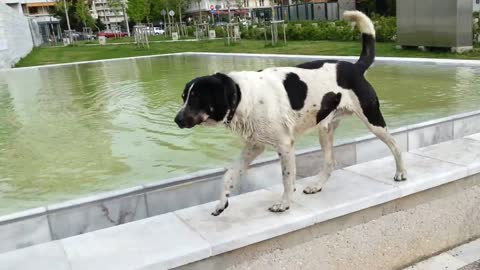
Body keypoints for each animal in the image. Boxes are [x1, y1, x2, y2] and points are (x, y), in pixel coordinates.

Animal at [174, 10, 406, 216]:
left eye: (196, 98)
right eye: (184, 96)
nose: (176, 120)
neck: (241, 95)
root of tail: (355, 67)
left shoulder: (284, 145)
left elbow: (287, 179)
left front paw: (284, 204)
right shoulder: (254, 146)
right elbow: (229, 175)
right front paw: (221, 204)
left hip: (373, 119)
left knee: (395, 145)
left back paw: (401, 172)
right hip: (325, 129)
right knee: (330, 162)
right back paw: (317, 185)